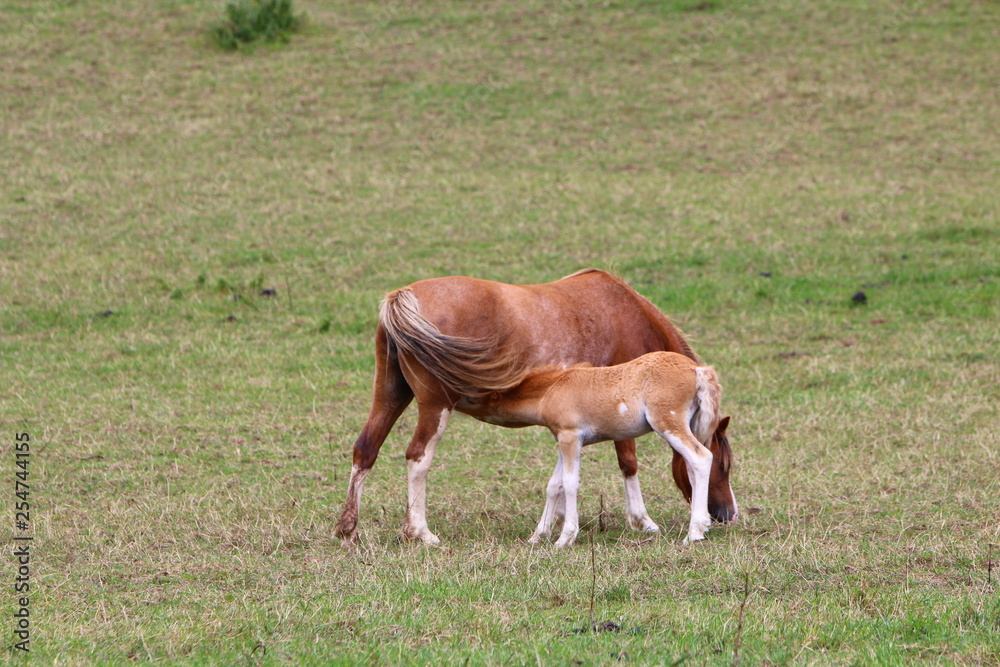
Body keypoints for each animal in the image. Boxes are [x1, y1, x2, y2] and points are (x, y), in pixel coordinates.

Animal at [483, 351, 730, 547]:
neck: (552, 388)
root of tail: (696, 369)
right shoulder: (565, 439)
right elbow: (554, 485)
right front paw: (538, 536)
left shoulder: (570, 436)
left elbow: (570, 483)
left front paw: (565, 538)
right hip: (692, 426)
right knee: (692, 467)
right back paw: (702, 526)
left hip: (667, 423)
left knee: (700, 458)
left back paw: (694, 533)